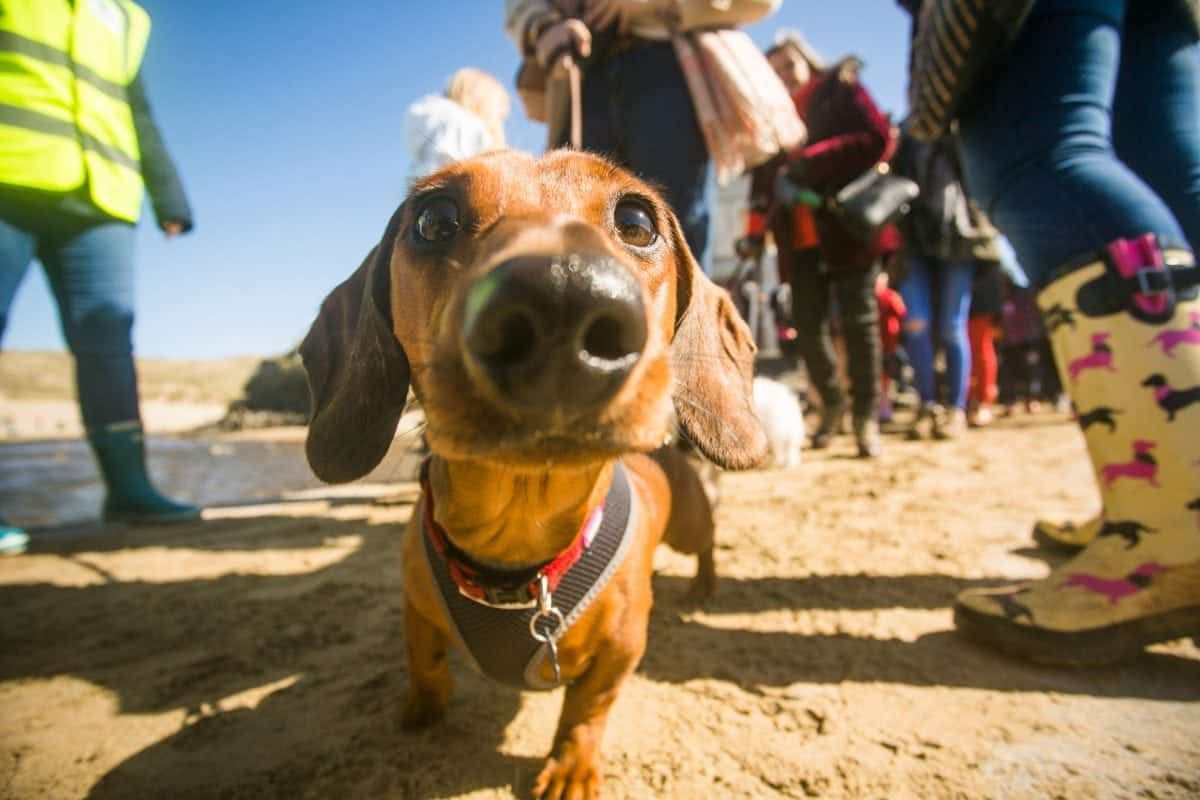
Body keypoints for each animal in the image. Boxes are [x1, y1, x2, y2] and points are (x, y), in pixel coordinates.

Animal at [304, 149, 763, 800]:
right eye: (433, 218)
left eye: (637, 221)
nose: (564, 296)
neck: (518, 547)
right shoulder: (415, 605)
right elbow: (423, 658)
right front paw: (422, 704)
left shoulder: (622, 651)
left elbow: (587, 710)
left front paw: (570, 768)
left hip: (688, 526)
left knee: (707, 543)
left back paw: (704, 584)